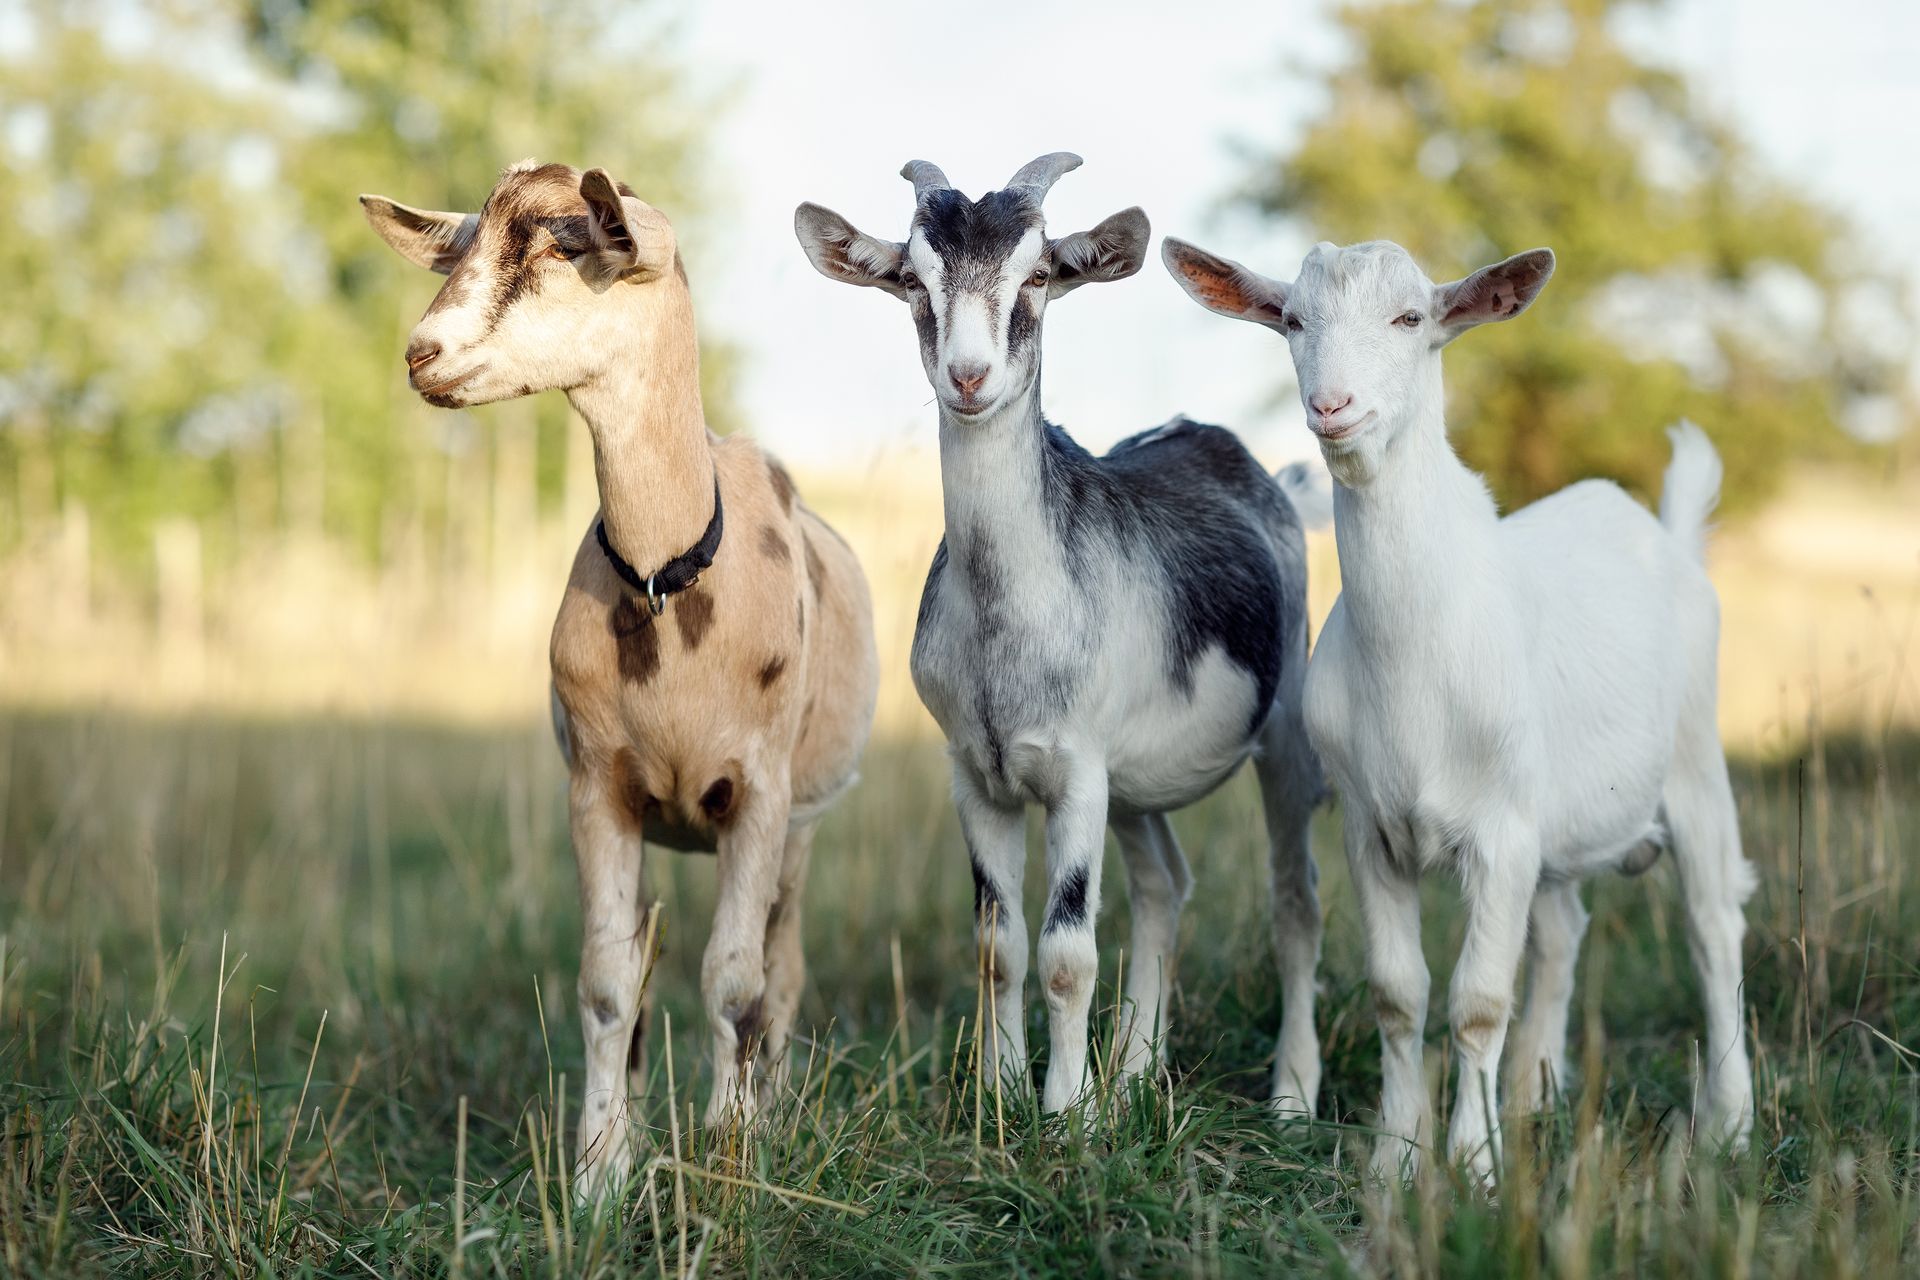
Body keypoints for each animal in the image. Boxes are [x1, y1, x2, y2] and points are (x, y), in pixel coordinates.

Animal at [362, 161, 878, 1200]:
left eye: (569, 242)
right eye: (466, 240)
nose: (424, 354)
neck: (670, 580)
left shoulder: (759, 794)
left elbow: (736, 979)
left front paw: (730, 1155)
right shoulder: (599, 788)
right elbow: (608, 983)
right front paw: (601, 1175)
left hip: (803, 827)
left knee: (783, 968)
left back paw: (773, 1109)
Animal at [794, 154, 1328, 1117]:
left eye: (1039, 274)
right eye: (912, 279)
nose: (969, 377)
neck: (1007, 624)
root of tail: (1264, 473)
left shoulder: (1077, 772)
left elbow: (1067, 950)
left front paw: (1065, 1113)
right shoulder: (978, 774)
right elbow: (998, 943)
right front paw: (1002, 1094)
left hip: (1283, 733)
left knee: (1296, 900)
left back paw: (1291, 1096)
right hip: (1137, 785)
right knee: (1164, 885)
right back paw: (1137, 1074)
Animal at [1165, 234, 1756, 1182]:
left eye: (1412, 318)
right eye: (1291, 319)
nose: (1331, 406)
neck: (1414, 660)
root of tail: (1664, 535)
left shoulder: (1502, 830)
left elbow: (1479, 999)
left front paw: (1476, 1166)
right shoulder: (1372, 825)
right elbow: (1400, 992)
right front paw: (1396, 1158)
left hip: (1697, 764)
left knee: (1712, 928)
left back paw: (1730, 1123)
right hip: (1558, 822)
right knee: (1562, 931)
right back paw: (1533, 1094)